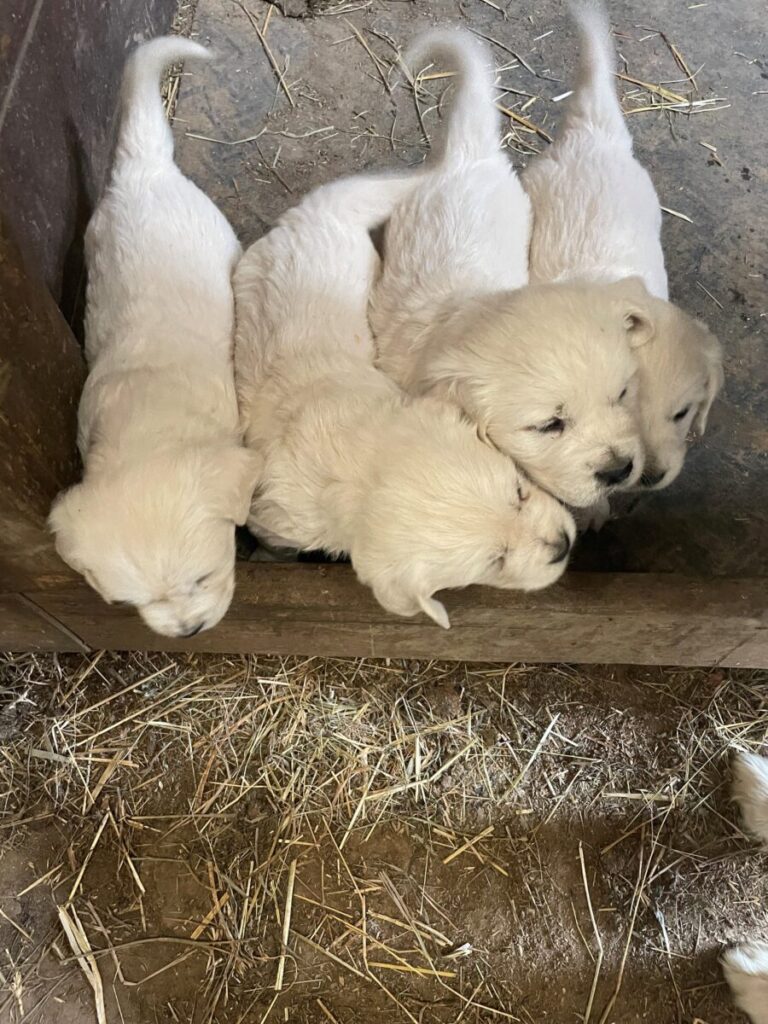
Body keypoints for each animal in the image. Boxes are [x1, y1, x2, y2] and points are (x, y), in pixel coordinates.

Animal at [234, 172, 577, 626]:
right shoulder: (276, 516)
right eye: (496, 561)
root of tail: (310, 215)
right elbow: (275, 542)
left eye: (520, 492)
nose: (564, 545)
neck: (357, 460)